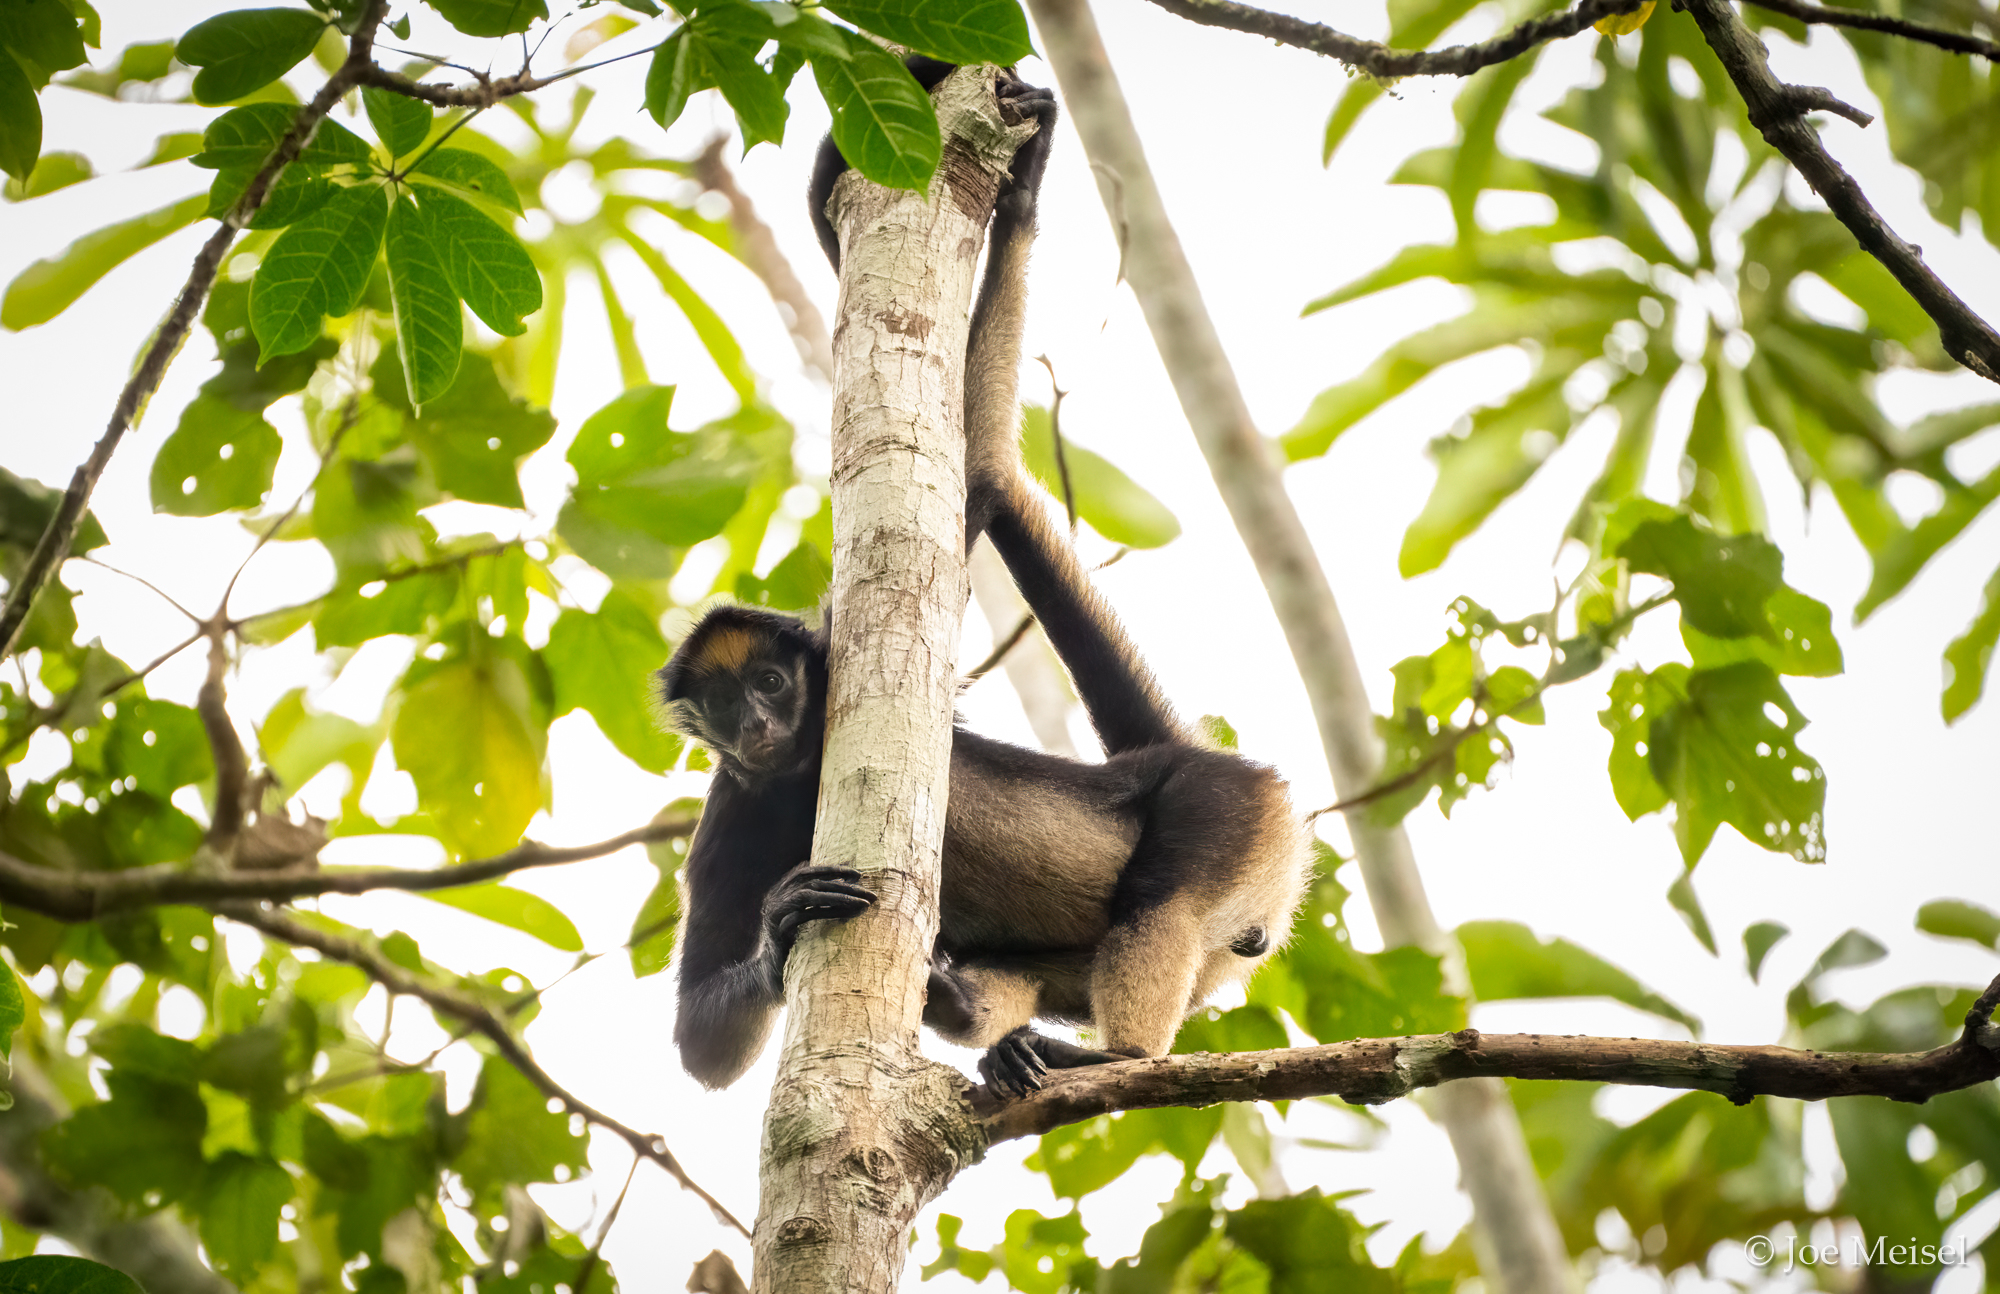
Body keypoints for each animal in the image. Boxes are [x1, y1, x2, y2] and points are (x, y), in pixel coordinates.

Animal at [662, 60, 1310, 1098]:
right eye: (724, 705)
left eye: (769, 681)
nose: (757, 724)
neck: (799, 766)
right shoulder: (735, 804)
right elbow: (700, 1045)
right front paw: (781, 925)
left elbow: (971, 481)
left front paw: (1023, 203)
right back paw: (964, 1008)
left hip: (1226, 808)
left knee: (1163, 897)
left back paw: (1115, 1054)